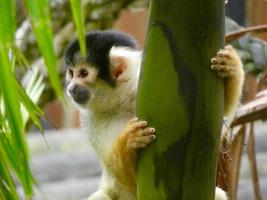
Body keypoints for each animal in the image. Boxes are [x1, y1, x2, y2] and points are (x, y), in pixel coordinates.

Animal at [64, 30, 245, 199]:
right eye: (71, 73)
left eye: (83, 73)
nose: (71, 88)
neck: (122, 101)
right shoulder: (93, 120)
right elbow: (129, 180)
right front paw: (129, 141)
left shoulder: (143, 84)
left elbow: (218, 115)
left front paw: (231, 67)